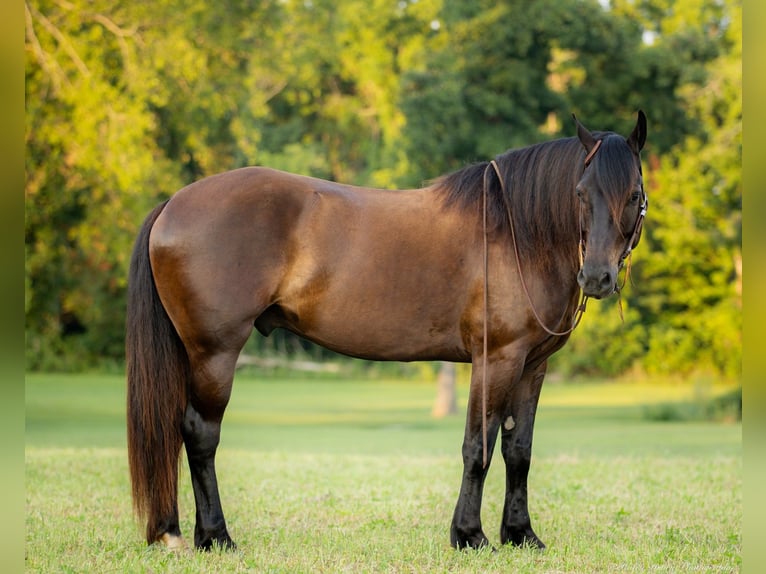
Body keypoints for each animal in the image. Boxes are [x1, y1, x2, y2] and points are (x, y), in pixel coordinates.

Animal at [126, 109, 648, 552]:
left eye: (633, 196)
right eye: (581, 194)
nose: (597, 277)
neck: (516, 233)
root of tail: (173, 204)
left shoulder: (531, 366)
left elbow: (518, 451)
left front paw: (521, 535)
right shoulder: (496, 360)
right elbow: (477, 448)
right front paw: (469, 536)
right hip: (214, 353)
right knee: (200, 434)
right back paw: (216, 536)